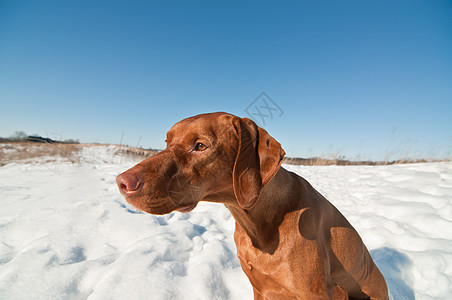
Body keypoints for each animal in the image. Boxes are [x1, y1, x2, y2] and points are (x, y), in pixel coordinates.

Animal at [116, 113, 388, 300]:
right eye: (166, 142)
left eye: (200, 146)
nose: (122, 182)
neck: (260, 223)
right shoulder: (260, 289)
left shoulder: (322, 293)